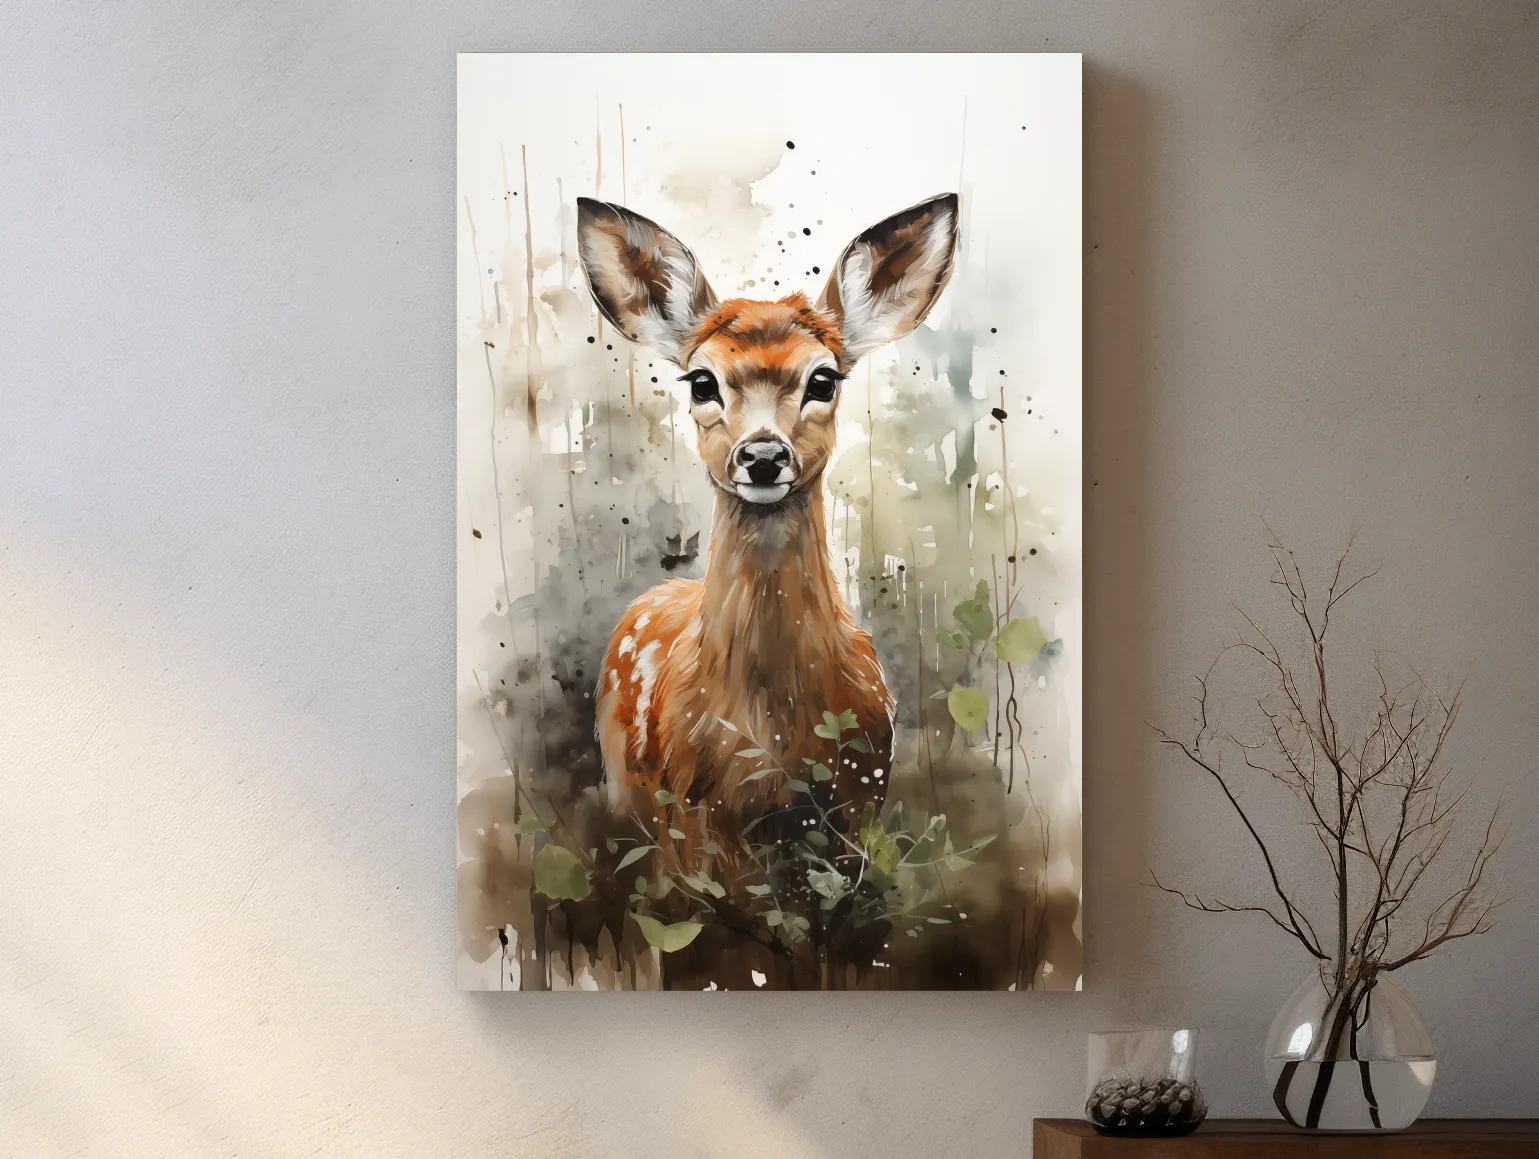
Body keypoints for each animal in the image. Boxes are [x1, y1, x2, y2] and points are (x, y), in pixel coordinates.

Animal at [576, 192, 960, 865]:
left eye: (823, 379)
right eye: (701, 380)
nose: (762, 455)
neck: (771, 739)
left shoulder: (860, 803)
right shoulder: (690, 818)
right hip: (629, 791)